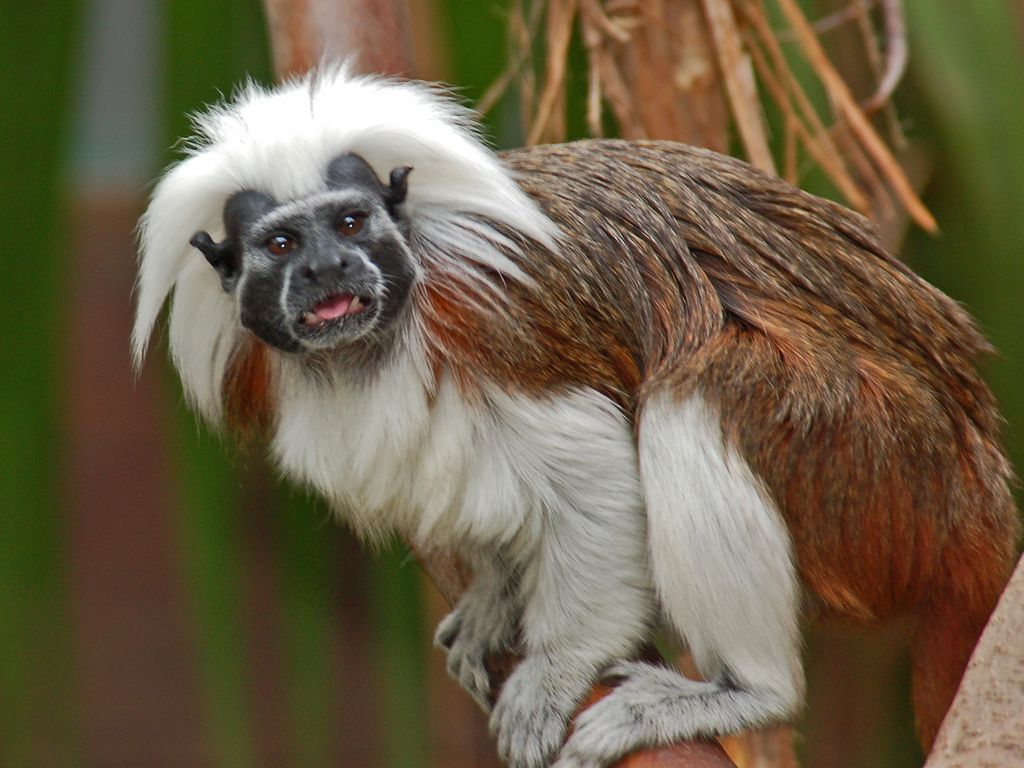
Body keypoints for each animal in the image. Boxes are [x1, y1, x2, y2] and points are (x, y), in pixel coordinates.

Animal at [132, 66, 1019, 768]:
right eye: (281, 245)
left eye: (349, 223)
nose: (327, 269)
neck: (372, 351)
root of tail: (977, 482)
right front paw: (496, 589)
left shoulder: (500, 323)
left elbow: (595, 472)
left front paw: (559, 667)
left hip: (882, 466)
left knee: (702, 394)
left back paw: (742, 691)